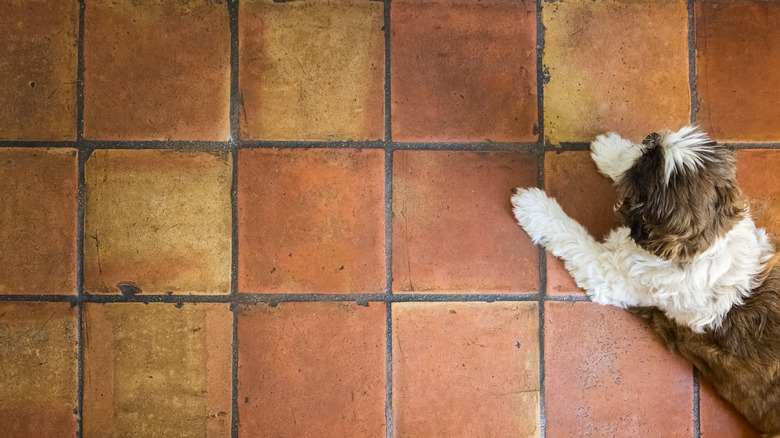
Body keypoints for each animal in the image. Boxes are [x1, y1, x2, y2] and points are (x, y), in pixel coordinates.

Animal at [512, 126, 780, 434]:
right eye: (654, 153)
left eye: (650, 170)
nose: (651, 138)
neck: (708, 245)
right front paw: (614, 151)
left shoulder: (612, 275)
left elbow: (571, 235)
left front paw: (534, 208)